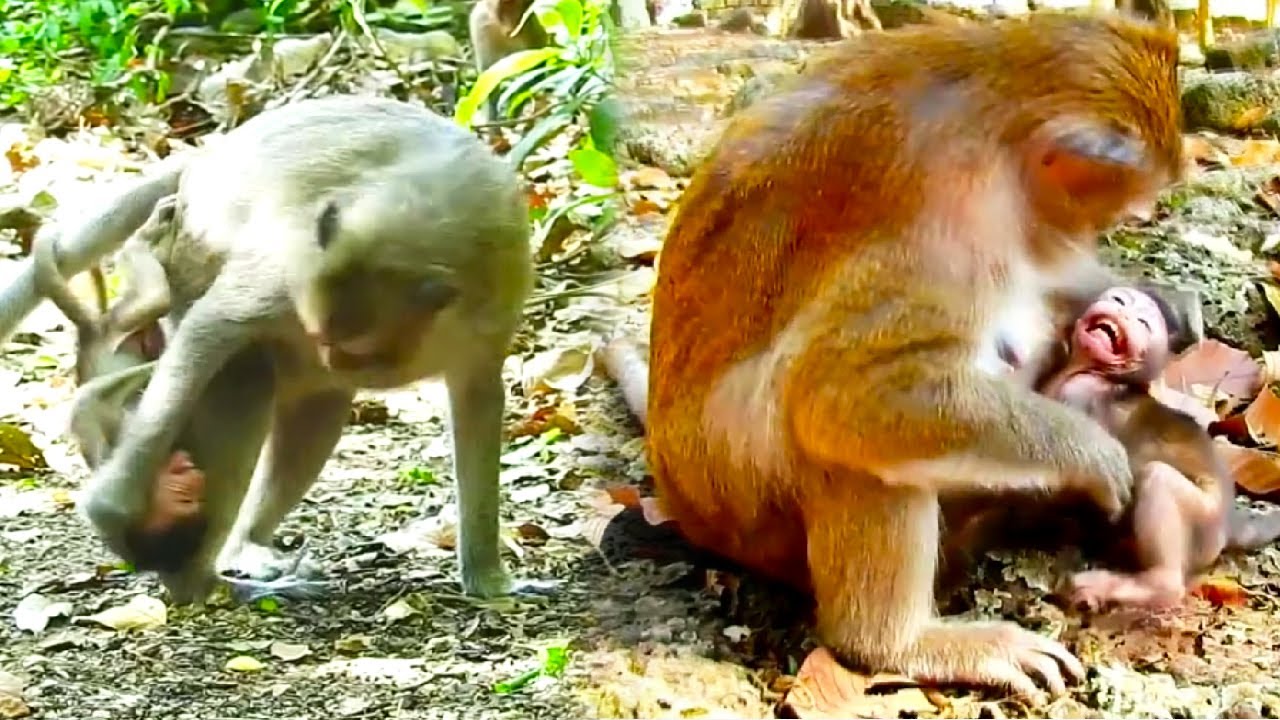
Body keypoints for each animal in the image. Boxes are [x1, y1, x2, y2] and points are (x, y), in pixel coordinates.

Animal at [0, 95, 539, 604]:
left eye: (354, 349)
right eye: (326, 338)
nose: (331, 359)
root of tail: (211, 153)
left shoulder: (497, 293)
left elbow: (478, 399)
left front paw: (489, 579)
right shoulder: (289, 265)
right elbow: (210, 330)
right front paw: (114, 509)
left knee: (319, 401)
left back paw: (242, 547)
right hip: (193, 250)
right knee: (245, 371)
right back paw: (197, 578)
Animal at [638, 13, 1183, 699]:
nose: (1087, 236)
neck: (991, 107)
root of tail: (682, 504)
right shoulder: (949, 229)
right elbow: (844, 394)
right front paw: (1093, 454)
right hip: (745, 499)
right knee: (842, 437)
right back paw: (896, 643)